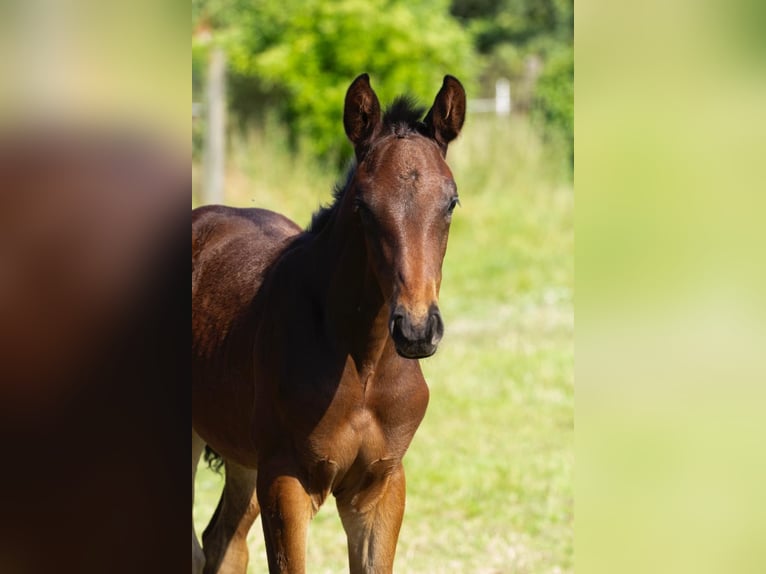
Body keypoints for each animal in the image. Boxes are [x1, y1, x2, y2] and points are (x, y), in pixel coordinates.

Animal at [194, 74, 468, 572]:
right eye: (363, 205)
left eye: (451, 202)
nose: (417, 329)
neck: (363, 363)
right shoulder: (285, 480)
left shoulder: (380, 486)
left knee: (223, 540)